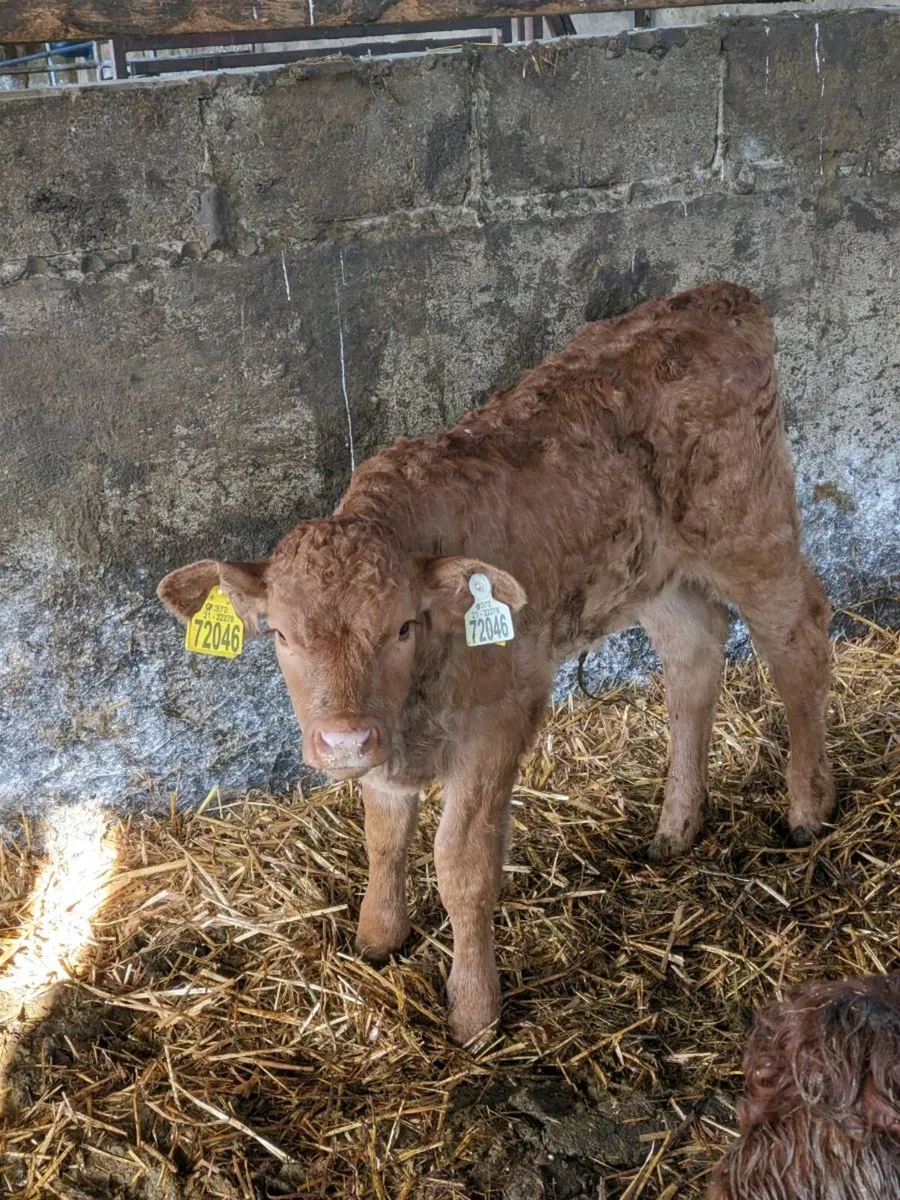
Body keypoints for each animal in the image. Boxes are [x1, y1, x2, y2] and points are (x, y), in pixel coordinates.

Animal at [158, 282, 834, 1045]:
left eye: (402, 626)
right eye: (278, 634)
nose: (342, 739)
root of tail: (719, 298)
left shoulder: (496, 724)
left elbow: (463, 864)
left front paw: (474, 1008)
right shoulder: (389, 745)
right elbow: (383, 838)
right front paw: (378, 936)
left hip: (752, 530)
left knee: (799, 642)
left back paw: (808, 805)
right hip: (652, 573)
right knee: (693, 659)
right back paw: (677, 824)